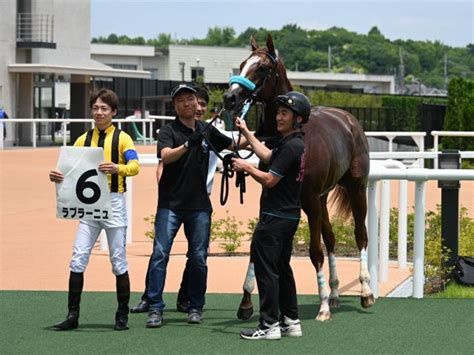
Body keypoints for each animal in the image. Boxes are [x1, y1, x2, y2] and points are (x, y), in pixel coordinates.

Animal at [224, 35, 376, 322]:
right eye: (241, 64)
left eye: (262, 68)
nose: (230, 97)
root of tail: (349, 120)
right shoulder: (270, 196)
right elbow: (256, 246)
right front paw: (246, 302)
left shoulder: (309, 200)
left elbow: (315, 252)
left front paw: (323, 307)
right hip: (323, 197)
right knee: (331, 237)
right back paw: (336, 293)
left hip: (355, 189)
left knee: (360, 235)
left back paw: (365, 292)